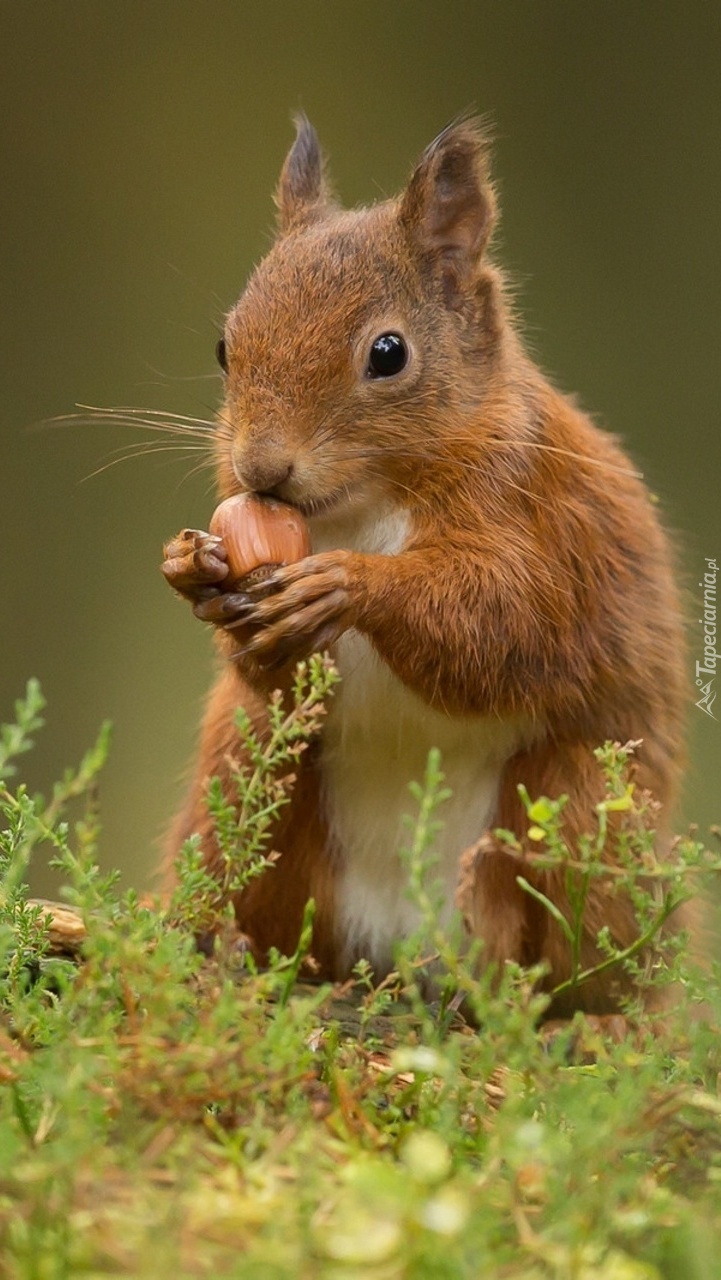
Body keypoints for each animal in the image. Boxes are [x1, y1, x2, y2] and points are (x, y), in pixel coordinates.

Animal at [160, 117, 686, 1008]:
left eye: (387, 353)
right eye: (226, 345)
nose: (260, 469)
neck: (361, 506)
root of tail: (402, 950)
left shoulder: (548, 531)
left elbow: (502, 626)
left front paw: (349, 586)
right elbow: (271, 673)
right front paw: (196, 573)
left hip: (583, 807)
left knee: (590, 956)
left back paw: (587, 1010)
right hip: (242, 775)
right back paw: (224, 946)